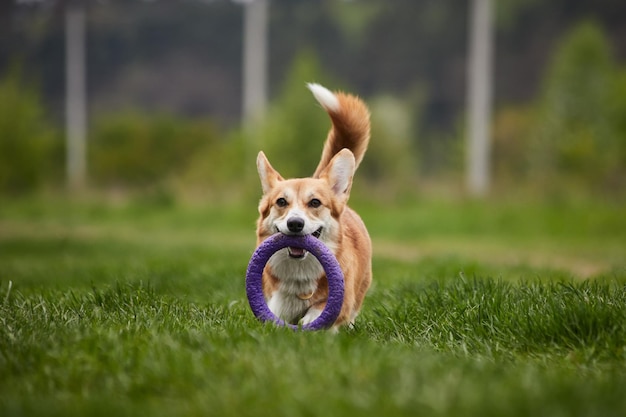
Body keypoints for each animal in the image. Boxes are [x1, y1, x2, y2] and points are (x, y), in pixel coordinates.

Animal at [254, 83, 370, 330]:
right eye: (281, 202)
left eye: (315, 202)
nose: (295, 224)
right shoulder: (276, 301)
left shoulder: (341, 301)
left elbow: (321, 310)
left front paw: (310, 321)